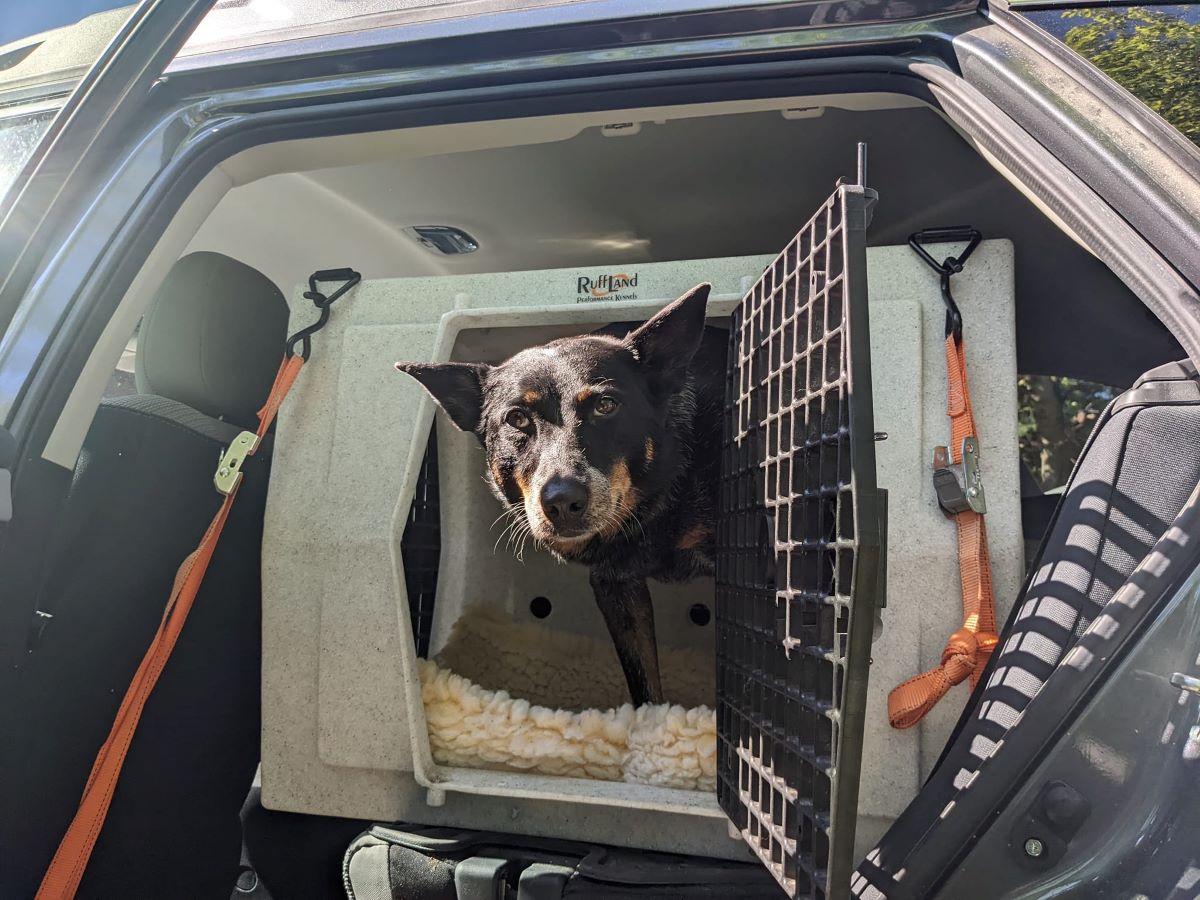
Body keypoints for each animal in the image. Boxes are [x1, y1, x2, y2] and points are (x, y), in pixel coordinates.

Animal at [398, 285, 720, 710]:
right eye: (516, 418)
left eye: (605, 405)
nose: (562, 501)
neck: (648, 510)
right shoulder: (615, 586)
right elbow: (645, 686)